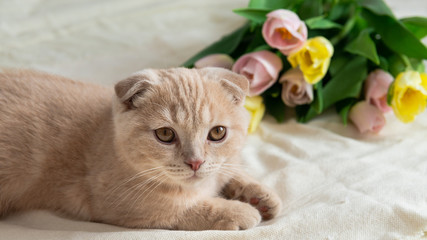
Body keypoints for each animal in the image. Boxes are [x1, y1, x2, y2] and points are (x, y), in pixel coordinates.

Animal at [0, 68, 282, 231]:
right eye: (165, 134)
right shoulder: (121, 201)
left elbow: (228, 169)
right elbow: (186, 207)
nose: (195, 162)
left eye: (218, 133)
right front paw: (239, 210)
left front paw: (259, 196)